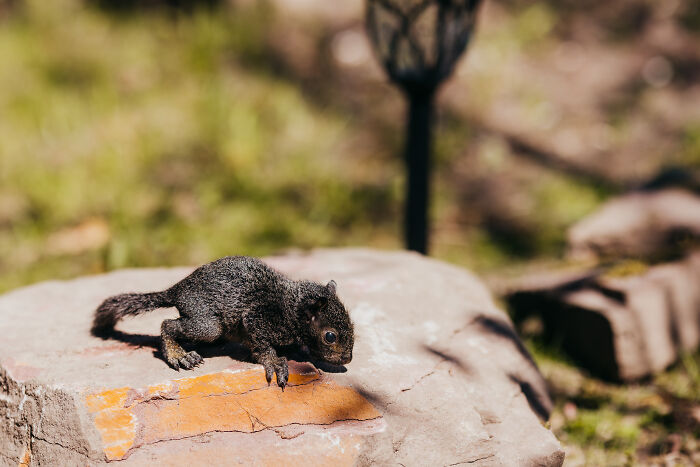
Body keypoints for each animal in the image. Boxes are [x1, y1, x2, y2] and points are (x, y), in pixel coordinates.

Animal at [91, 256, 354, 390]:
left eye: (352, 324)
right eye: (330, 336)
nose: (347, 359)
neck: (292, 308)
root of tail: (176, 290)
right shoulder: (257, 319)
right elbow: (262, 346)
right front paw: (275, 362)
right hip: (208, 325)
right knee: (168, 325)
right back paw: (178, 354)